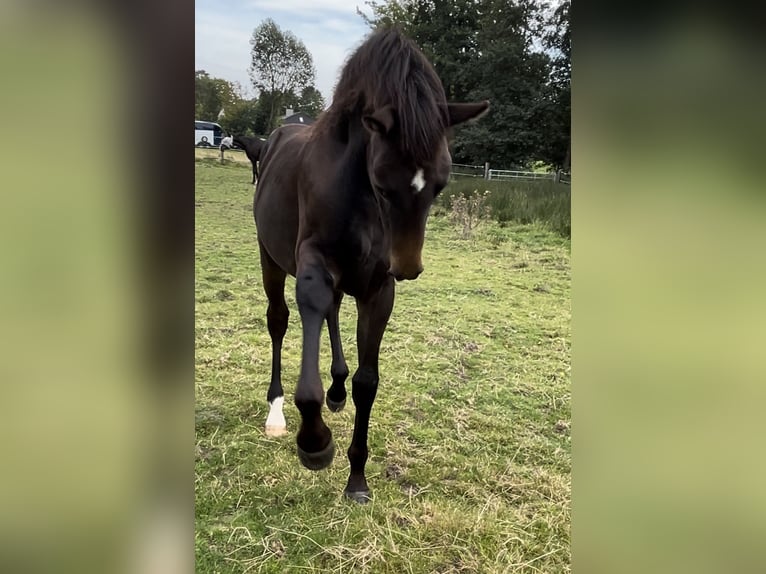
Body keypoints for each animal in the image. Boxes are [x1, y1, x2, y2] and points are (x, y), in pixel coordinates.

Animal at [255, 27, 488, 504]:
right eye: (382, 183)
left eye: (441, 183)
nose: (408, 266)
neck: (357, 196)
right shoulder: (313, 268)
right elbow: (307, 317)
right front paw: (314, 442)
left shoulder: (378, 289)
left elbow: (368, 382)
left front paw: (357, 478)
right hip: (271, 260)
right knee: (279, 321)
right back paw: (277, 412)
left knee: (332, 314)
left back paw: (337, 389)